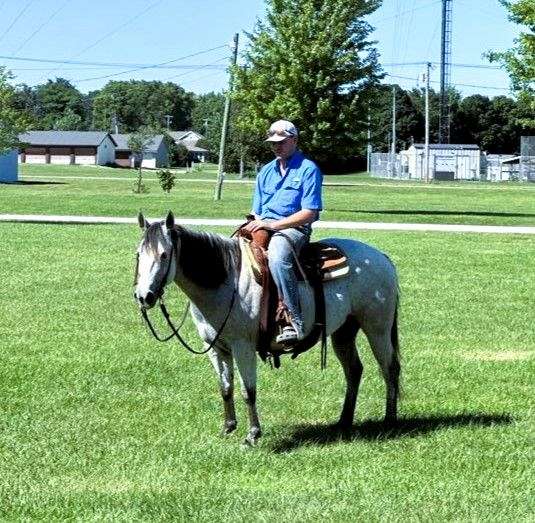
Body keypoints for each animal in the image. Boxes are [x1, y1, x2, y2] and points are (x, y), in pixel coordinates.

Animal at [135, 213, 402, 446]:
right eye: (138, 254)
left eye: (164, 255)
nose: (143, 296)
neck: (225, 282)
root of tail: (382, 257)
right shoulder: (215, 347)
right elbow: (226, 387)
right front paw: (228, 428)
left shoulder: (243, 347)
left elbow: (248, 390)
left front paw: (252, 435)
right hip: (344, 332)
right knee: (354, 370)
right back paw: (344, 421)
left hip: (378, 328)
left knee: (389, 369)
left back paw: (389, 421)